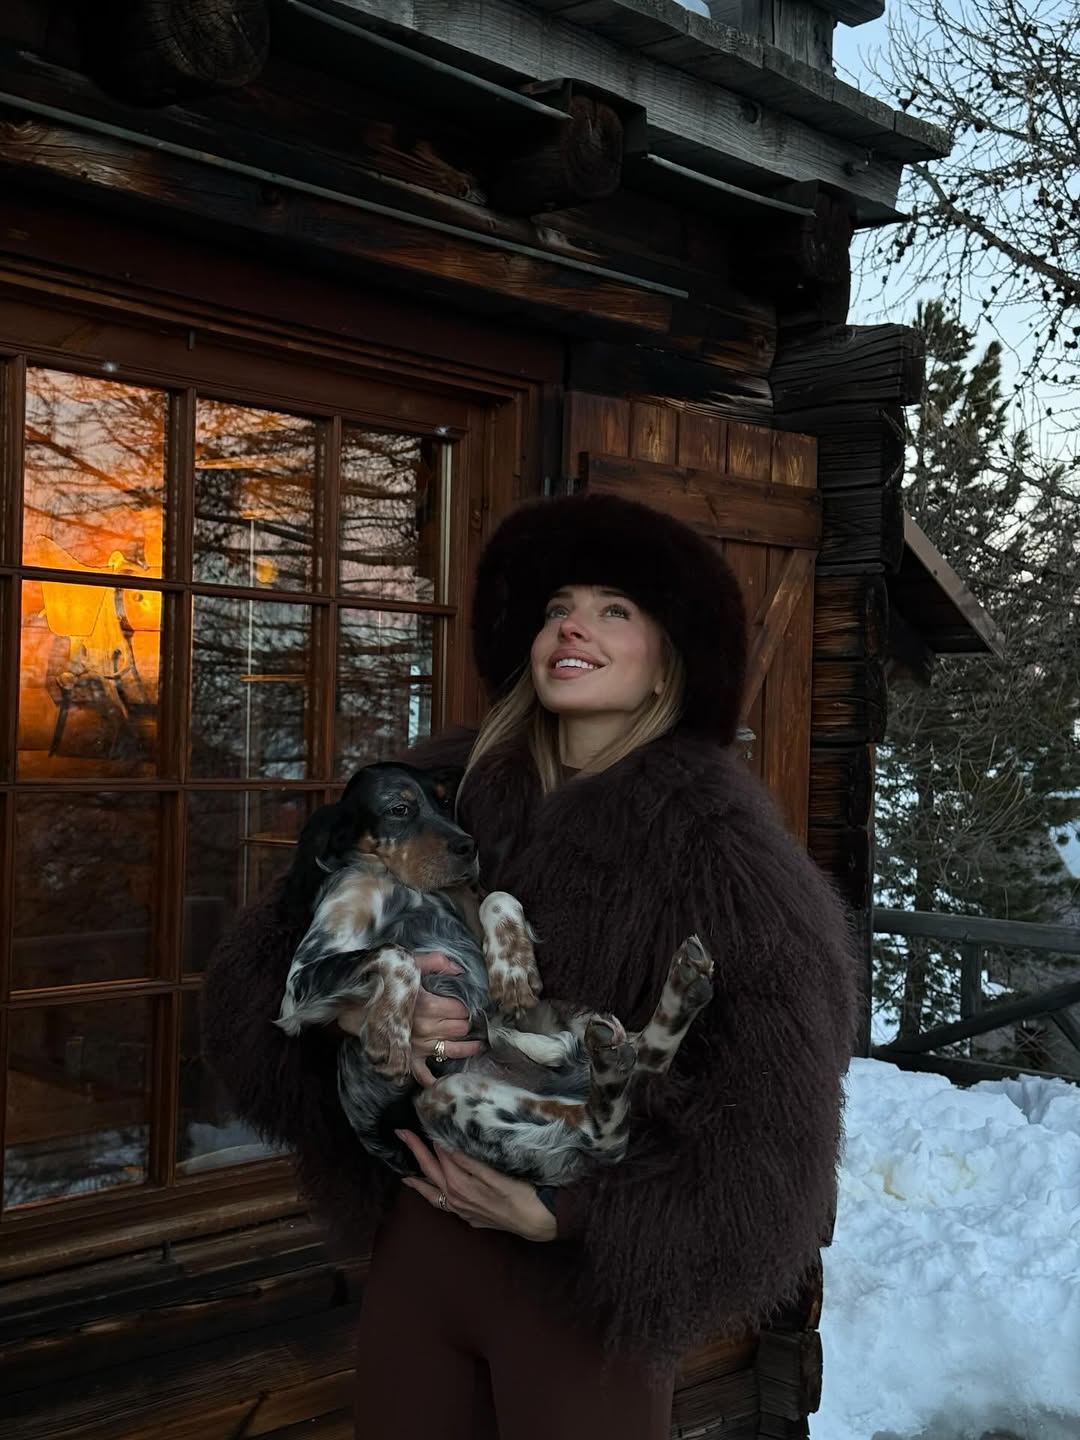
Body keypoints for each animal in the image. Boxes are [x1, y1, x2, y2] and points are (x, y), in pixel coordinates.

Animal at [275, 761, 714, 1186]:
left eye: (445, 802)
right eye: (399, 809)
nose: (469, 847)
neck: (403, 885)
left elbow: (498, 898)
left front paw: (513, 970)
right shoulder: (299, 985)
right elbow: (397, 954)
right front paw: (389, 1034)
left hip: (555, 1020)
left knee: (645, 1062)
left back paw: (684, 984)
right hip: (446, 1098)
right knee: (606, 1132)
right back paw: (615, 1053)